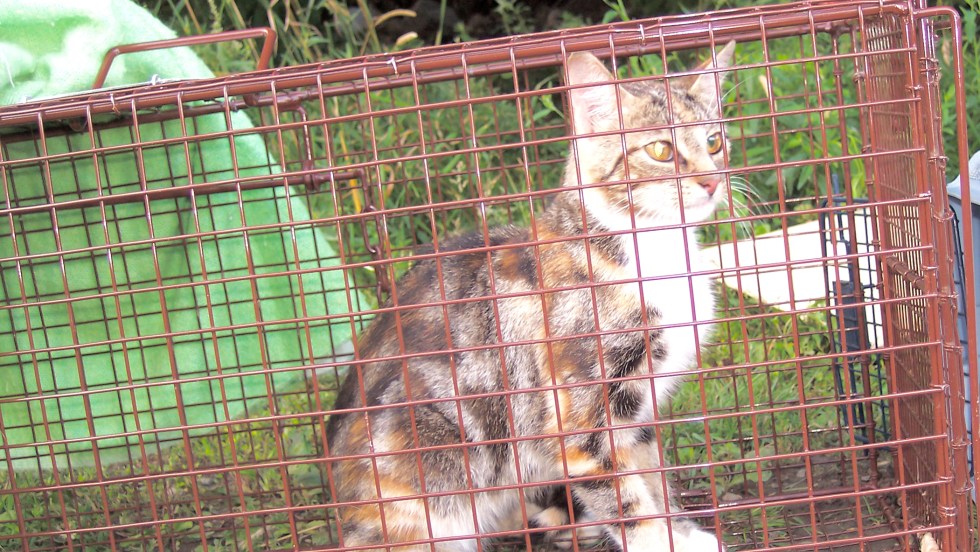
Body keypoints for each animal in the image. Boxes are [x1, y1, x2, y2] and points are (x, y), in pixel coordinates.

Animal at [326, 40, 735, 551]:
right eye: (660, 150)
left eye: (715, 142)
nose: (712, 181)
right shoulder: (578, 414)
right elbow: (621, 492)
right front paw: (657, 540)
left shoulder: (639, 412)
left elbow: (652, 475)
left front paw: (679, 530)